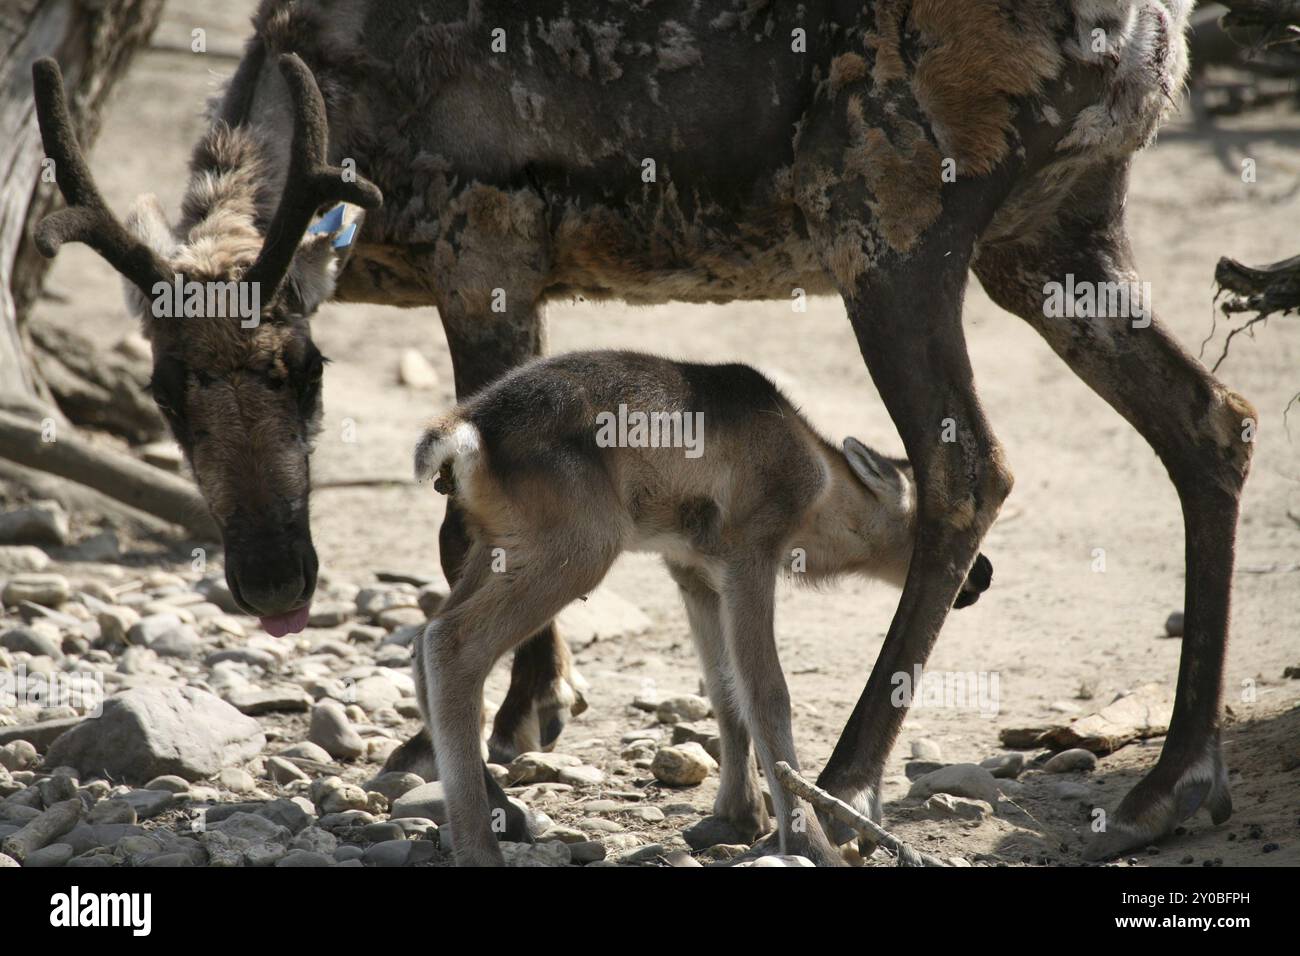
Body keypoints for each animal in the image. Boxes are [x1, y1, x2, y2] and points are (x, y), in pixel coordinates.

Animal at [410, 351, 987, 868]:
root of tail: (464, 430)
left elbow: (724, 690)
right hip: (578, 550)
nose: (981, 573)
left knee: (423, 638)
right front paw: (808, 843)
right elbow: (767, 694)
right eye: (925, 524)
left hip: (498, 548)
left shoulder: (693, 572)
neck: (821, 491)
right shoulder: (750, 556)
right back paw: (480, 847)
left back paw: (498, 814)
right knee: (451, 646)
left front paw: (739, 815)